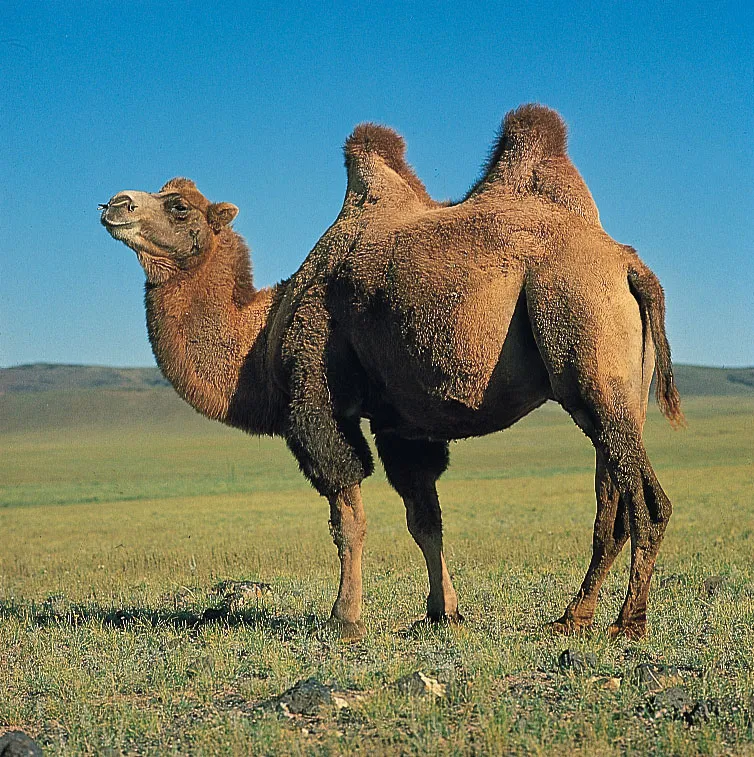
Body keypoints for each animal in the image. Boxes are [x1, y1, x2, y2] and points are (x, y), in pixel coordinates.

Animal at [100, 104, 683, 640]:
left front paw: (346, 619)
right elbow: (425, 520)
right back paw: (573, 617)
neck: (261, 332)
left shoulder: (318, 397)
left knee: (647, 504)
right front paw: (443, 611)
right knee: (611, 505)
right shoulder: (400, 423)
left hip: (578, 330)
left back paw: (628, 624)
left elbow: (348, 518)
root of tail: (631, 266)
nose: (114, 204)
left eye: (178, 207)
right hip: (619, 390)